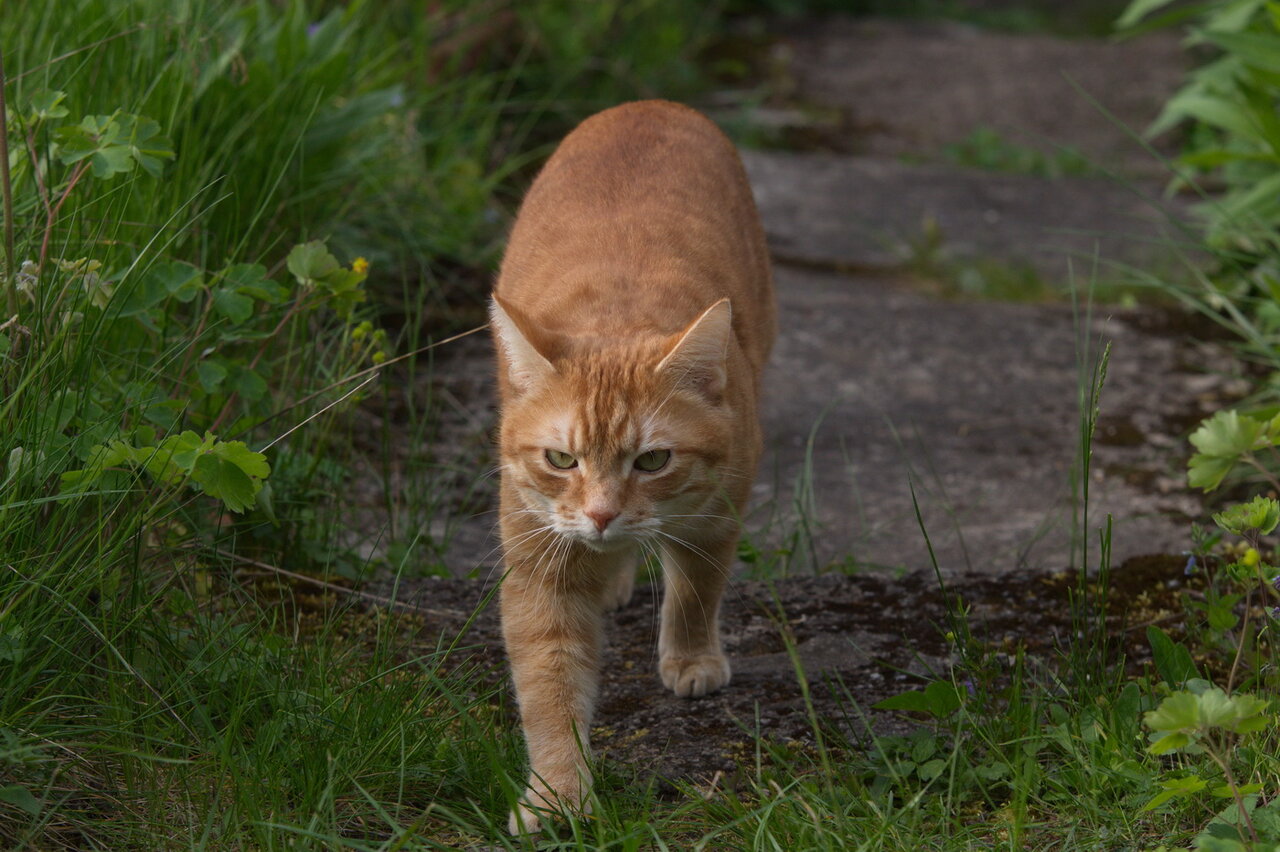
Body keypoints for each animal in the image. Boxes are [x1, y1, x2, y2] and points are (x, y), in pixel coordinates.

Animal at [486, 99, 768, 828]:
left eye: (653, 460)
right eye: (561, 458)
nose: (602, 516)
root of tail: (649, 104)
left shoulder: (716, 516)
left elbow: (695, 593)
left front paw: (692, 658)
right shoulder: (540, 570)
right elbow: (550, 688)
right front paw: (557, 793)